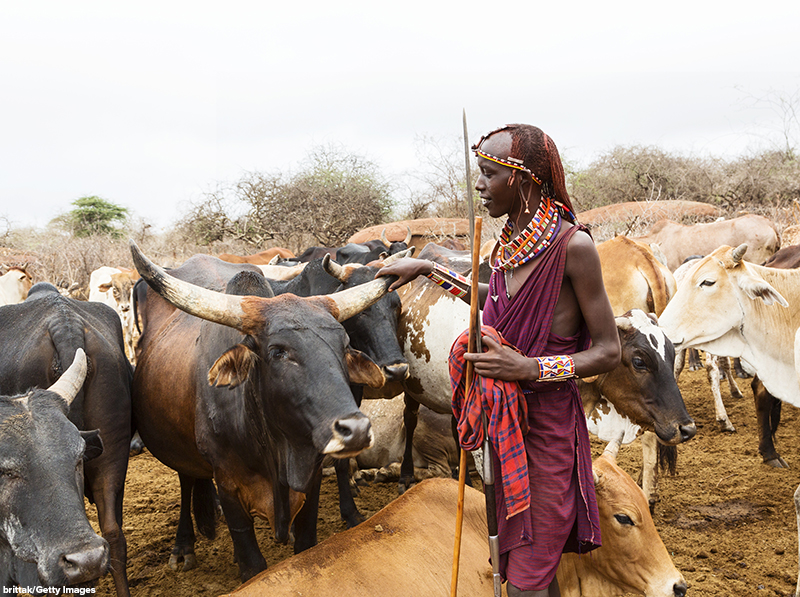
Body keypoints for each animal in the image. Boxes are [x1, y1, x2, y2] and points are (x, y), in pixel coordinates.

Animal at [128, 242, 394, 584]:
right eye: (278, 351)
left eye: (344, 344)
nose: (356, 430)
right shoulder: (228, 485)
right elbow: (252, 564)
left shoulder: (310, 478)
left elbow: (306, 545)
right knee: (187, 481)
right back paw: (183, 546)